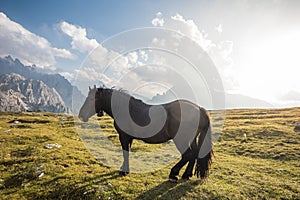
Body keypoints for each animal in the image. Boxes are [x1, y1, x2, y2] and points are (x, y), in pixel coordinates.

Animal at [78, 85, 212, 182]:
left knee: (187, 155)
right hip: (191, 139)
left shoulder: (124, 137)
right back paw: (186, 174)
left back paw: (173, 174)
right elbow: (127, 152)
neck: (125, 110)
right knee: (194, 154)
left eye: (91, 99)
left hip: (181, 139)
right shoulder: (129, 138)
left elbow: (125, 152)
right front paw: (123, 168)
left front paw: (124, 171)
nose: (81, 115)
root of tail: (199, 109)